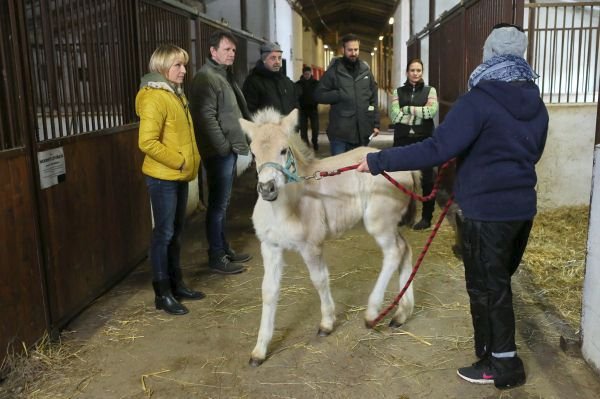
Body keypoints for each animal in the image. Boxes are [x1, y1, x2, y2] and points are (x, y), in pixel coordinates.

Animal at [239, 108, 418, 366]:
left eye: (283, 150)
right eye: (253, 153)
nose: (267, 189)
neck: (286, 207)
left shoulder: (311, 245)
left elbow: (320, 280)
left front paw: (326, 323)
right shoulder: (270, 247)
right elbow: (269, 292)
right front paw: (259, 350)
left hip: (379, 221)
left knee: (394, 253)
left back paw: (372, 313)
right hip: (391, 223)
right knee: (405, 250)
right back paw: (401, 314)